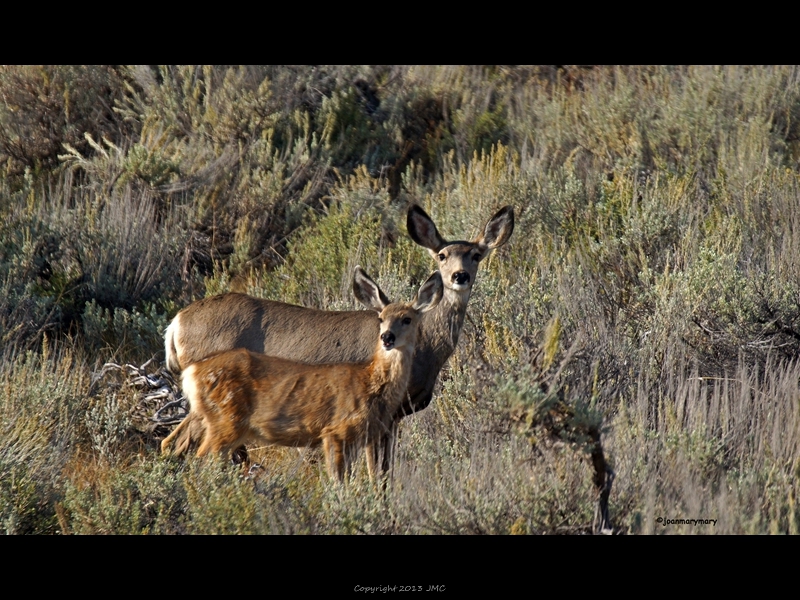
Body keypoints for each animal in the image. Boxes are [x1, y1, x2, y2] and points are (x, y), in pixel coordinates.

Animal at [165, 268, 440, 482]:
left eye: (407, 319)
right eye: (380, 318)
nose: (387, 337)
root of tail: (174, 323)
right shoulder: (338, 432)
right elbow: (353, 480)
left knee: (176, 445)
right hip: (224, 423)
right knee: (198, 457)